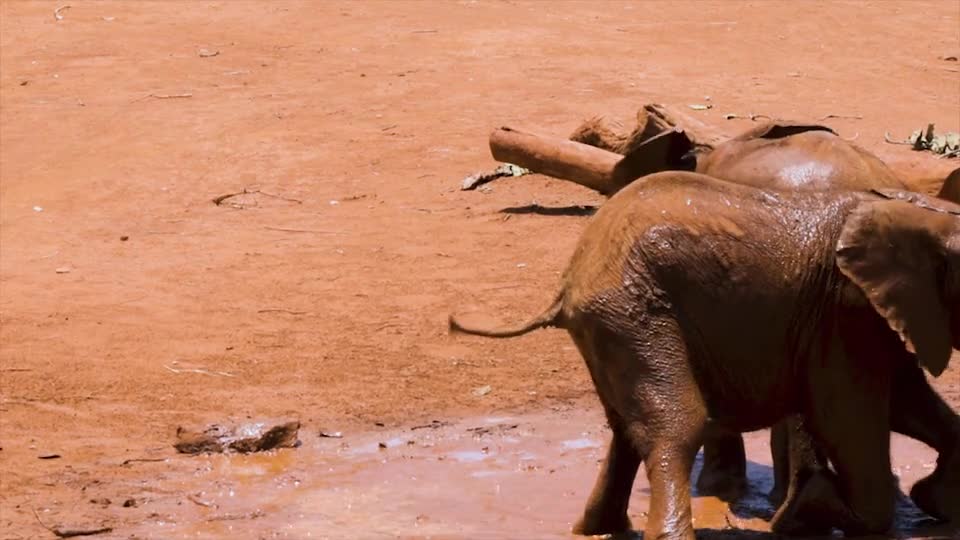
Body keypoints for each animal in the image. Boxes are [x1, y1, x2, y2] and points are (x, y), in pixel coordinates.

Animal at [450, 173, 960, 540]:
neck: (919, 211)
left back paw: (595, 530)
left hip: (610, 326)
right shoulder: (844, 312)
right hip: (634, 312)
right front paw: (812, 509)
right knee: (677, 425)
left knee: (626, 430)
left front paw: (935, 499)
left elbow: (908, 403)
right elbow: (848, 422)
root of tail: (570, 276)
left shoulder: (881, 314)